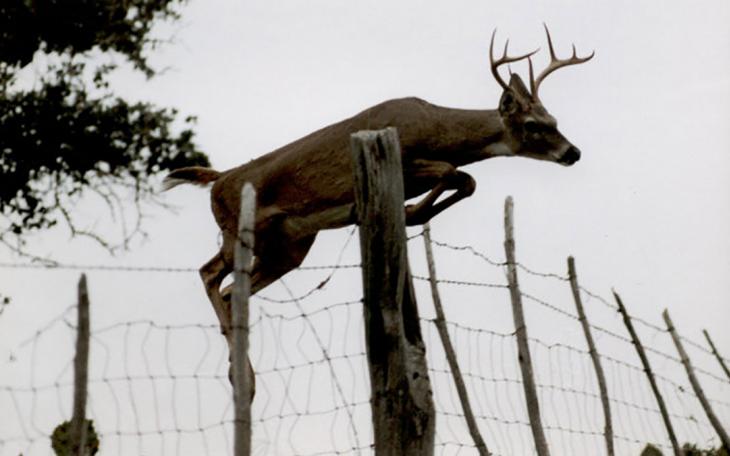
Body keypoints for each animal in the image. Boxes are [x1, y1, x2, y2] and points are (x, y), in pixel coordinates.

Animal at [163, 26, 593, 397]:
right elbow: (452, 172)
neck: (436, 129)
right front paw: (412, 209)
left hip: (290, 246)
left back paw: (240, 376)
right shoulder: (409, 159)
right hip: (240, 229)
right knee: (210, 274)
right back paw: (244, 380)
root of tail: (219, 179)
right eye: (534, 125)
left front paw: (412, 210)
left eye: (554, 119)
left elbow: (466, 180)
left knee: (231, 288)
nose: (573, 152)